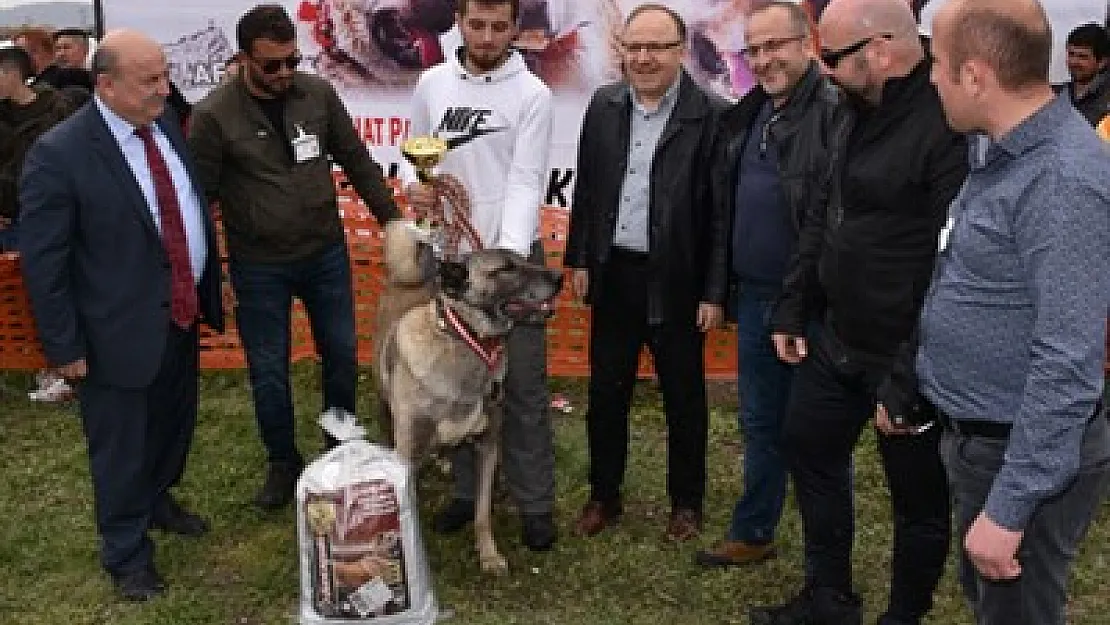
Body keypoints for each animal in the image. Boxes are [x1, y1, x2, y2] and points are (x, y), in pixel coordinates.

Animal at [375, 222, 563, 572]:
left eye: (524, 259)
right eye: (506, 268)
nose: (559, 278)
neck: (464, 340)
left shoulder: (488, 447)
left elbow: (482, 513)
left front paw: (488, 555)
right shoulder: (409, 455)